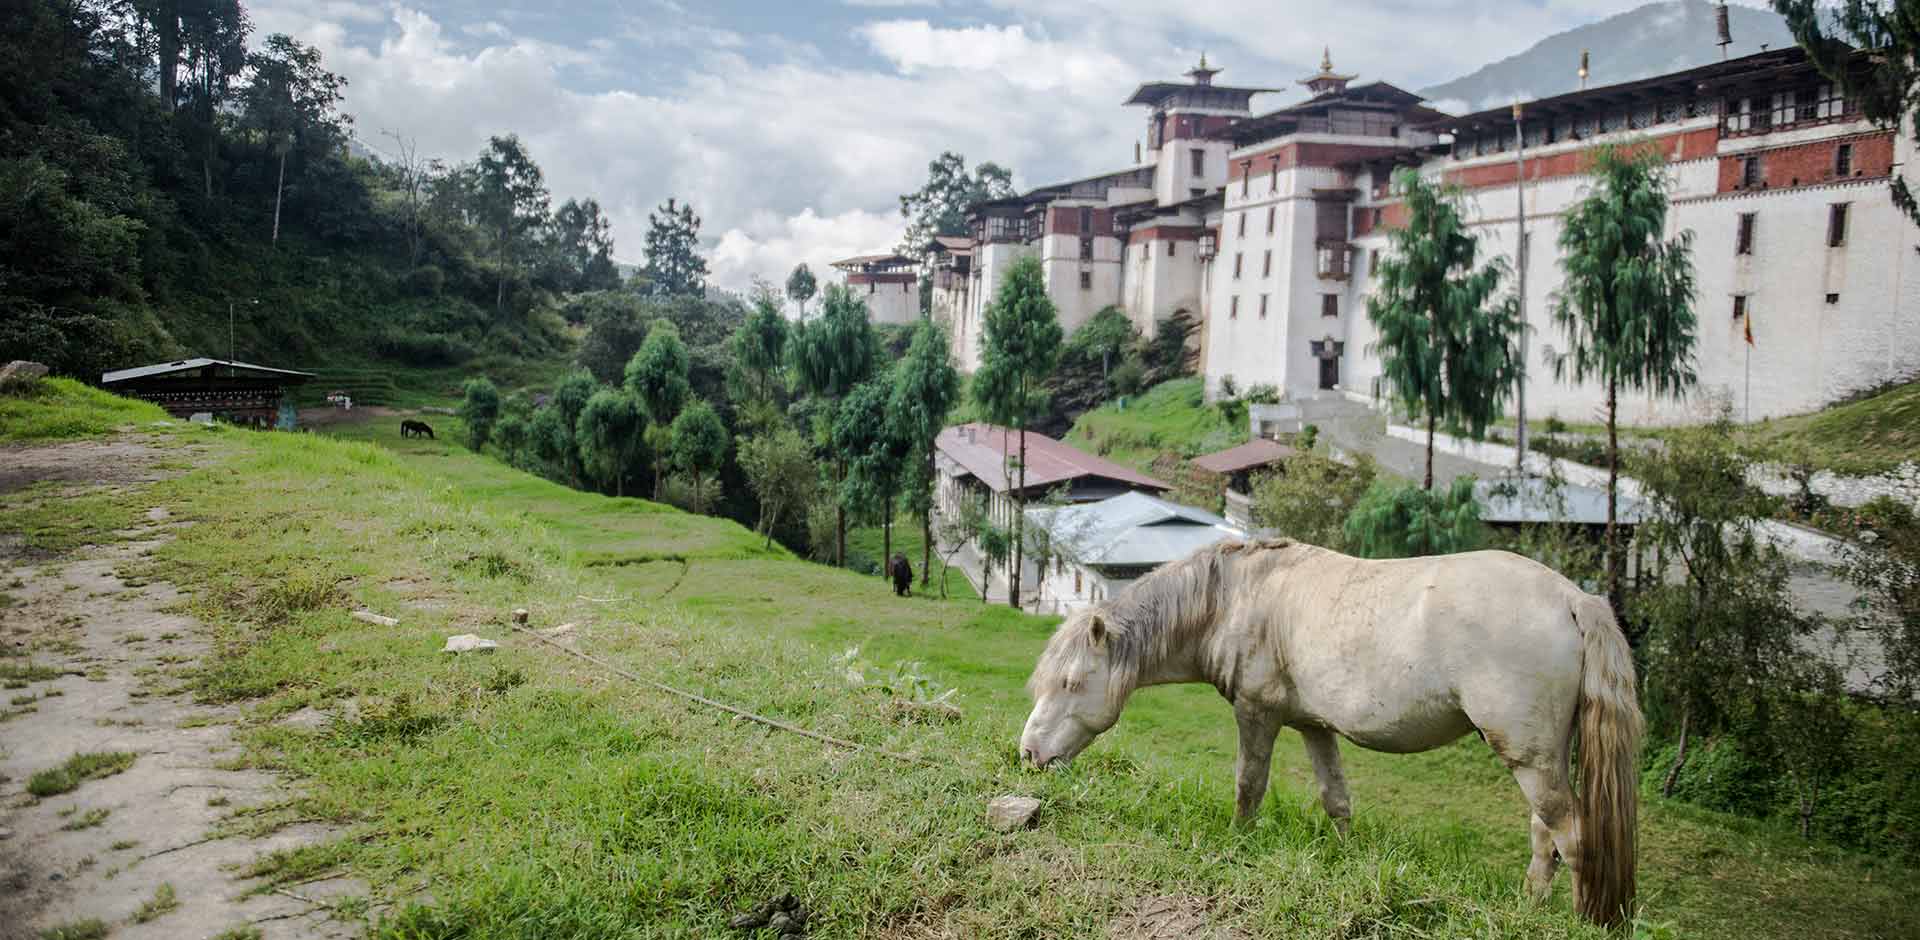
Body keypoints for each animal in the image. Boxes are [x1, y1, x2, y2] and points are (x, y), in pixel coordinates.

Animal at [1021, 540, 1635, 920]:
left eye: (1071, 682)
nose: (1027, 753)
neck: (1234, 598)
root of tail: (1572, 599)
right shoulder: (1313, 727)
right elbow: (1336, 800)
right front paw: (1345, 863)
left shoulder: (1257, 714)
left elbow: (1249, 786)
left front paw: (1238, 845)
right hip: (1543, 755)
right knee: (1544, 837)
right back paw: (1528, 909)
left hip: (1530, 758)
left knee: (1572, 838)